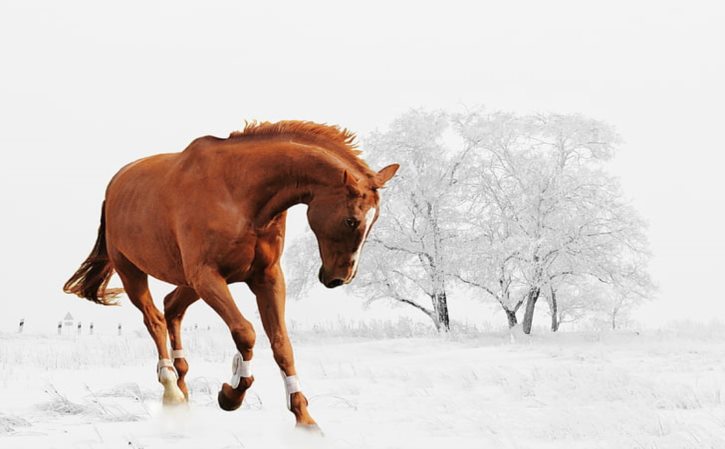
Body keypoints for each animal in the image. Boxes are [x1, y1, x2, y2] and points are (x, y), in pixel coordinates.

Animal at [63, 121, 398, 428]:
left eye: (374, 220)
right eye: (352, 220)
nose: (339, 278)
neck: (240, 194)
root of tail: (114, 185)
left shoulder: (267, 278)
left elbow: (282, 344)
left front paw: (303, 417)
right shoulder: (207, 276)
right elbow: (245, 332)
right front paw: (231, 394)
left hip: (188, 282)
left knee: (171, 307)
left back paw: (183, 386)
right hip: (133, 272)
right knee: (155, 319)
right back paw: (171, 389)